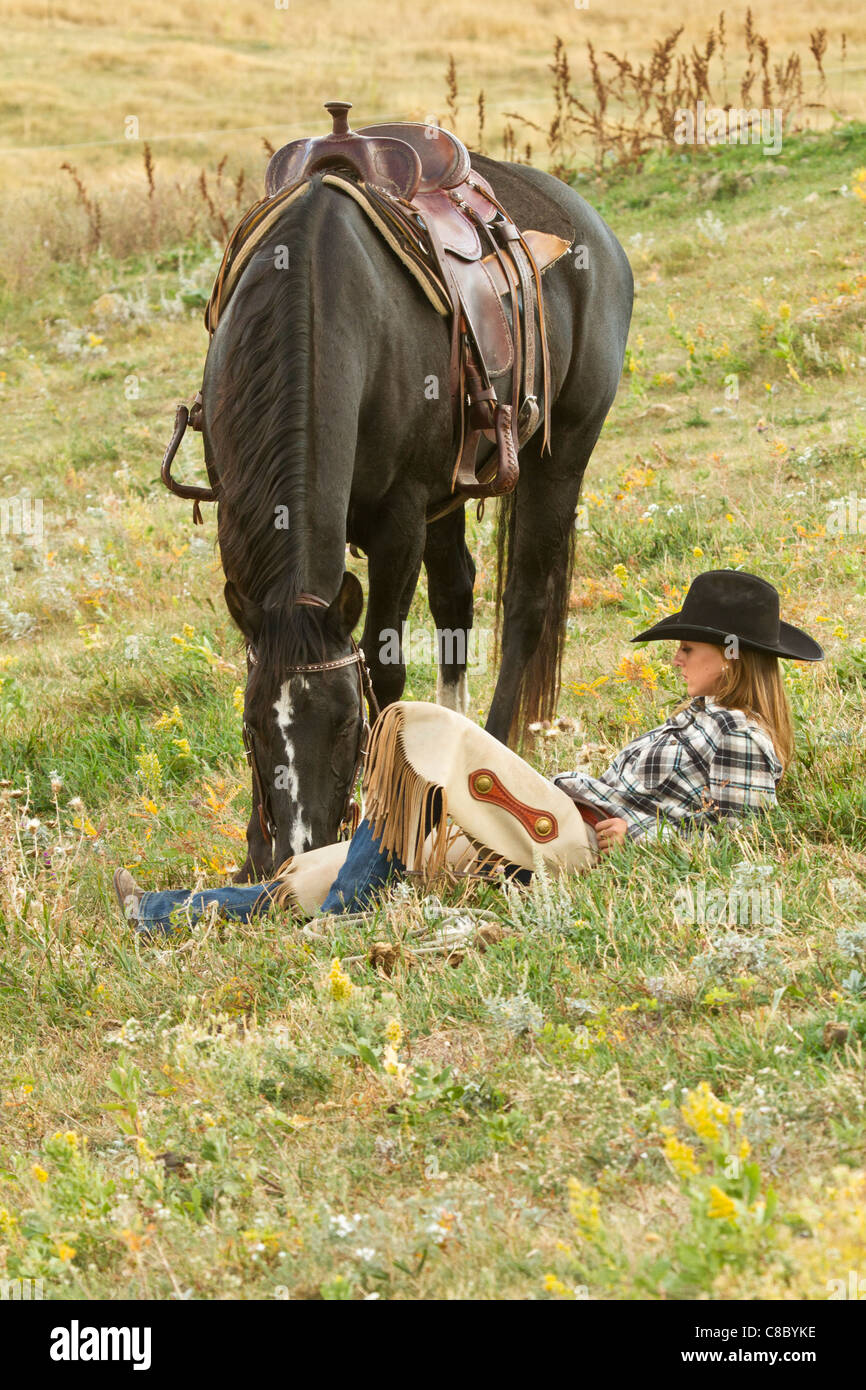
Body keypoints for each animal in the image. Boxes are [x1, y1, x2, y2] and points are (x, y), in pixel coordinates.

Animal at [205, 154, 633, 878]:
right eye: (252, 727)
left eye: (348, 725)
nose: (300, 852)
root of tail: (593, 229)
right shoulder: (239, 527)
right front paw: (253, 851)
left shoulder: (399, 521)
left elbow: (385, 669)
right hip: (448, 500)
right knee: (456, 596)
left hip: (562, 454)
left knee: (524, 605)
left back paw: (493, 750)